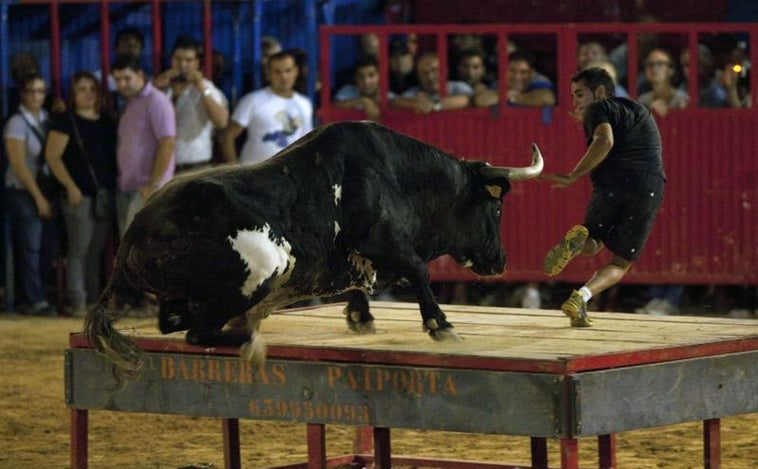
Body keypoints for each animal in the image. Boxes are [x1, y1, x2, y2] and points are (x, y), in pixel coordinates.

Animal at [86, 121, 544, 376]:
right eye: (497, 206)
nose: (500, 261)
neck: (397, 175)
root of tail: (135, 230)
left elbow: (364, 280)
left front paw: (360, 315)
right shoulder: (383, 240)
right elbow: (418, 270)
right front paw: (441, 325)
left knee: (175, 321)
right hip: (261, 269)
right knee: (200, 331)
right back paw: (250, 337)